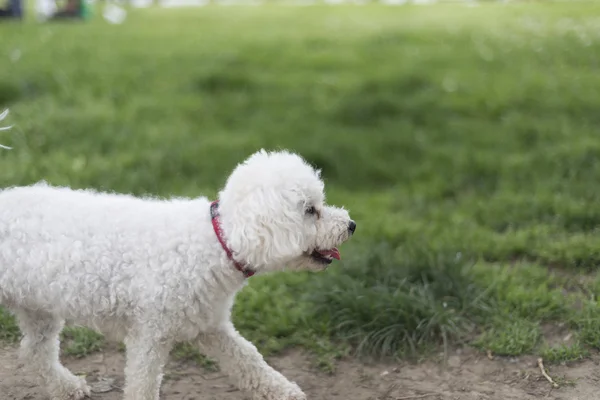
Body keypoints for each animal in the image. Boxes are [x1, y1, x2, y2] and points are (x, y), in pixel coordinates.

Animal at [0, 150, 356, 400]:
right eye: (310, 210)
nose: (351, 225)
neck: (216, 243)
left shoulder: (210, 325)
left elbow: (248, 359)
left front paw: (284, 391)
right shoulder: (149, 334)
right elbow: (143, 384)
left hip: (37, 308)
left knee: (34, 352)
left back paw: (66, 386)